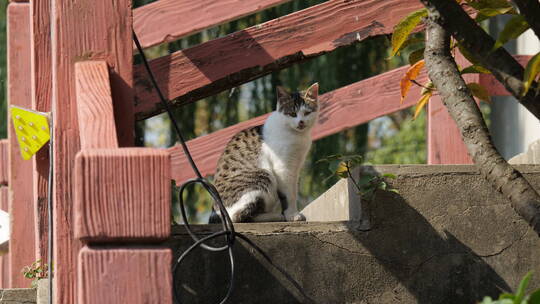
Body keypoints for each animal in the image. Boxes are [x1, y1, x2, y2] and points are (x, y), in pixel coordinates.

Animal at [210, 83, 320, 223]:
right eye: (292, 113)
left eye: (307, 113)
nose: (301, 122)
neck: (297, 136)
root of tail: (217, 211)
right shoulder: (283, 168)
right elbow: (289, 195)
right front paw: (292, 215)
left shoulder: (296, 168)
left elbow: (294, 191)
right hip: (263, 176)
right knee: (240, 216)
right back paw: (276, 216)